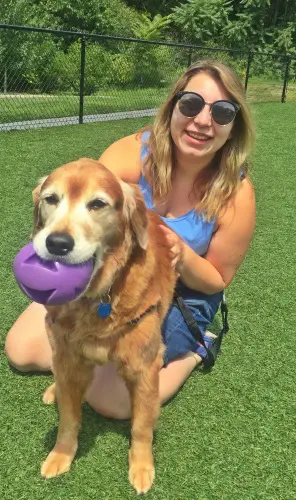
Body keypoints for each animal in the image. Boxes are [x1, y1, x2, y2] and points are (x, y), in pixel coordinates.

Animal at [32, 158, 176, 494]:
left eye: (97, 204)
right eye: (51, 199)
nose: (57, 243)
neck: (97, 297)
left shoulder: (144, 367)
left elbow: (141, 426)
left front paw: (141, 467)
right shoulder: (69, 358)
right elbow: (68, 418)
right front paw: (61, 455)